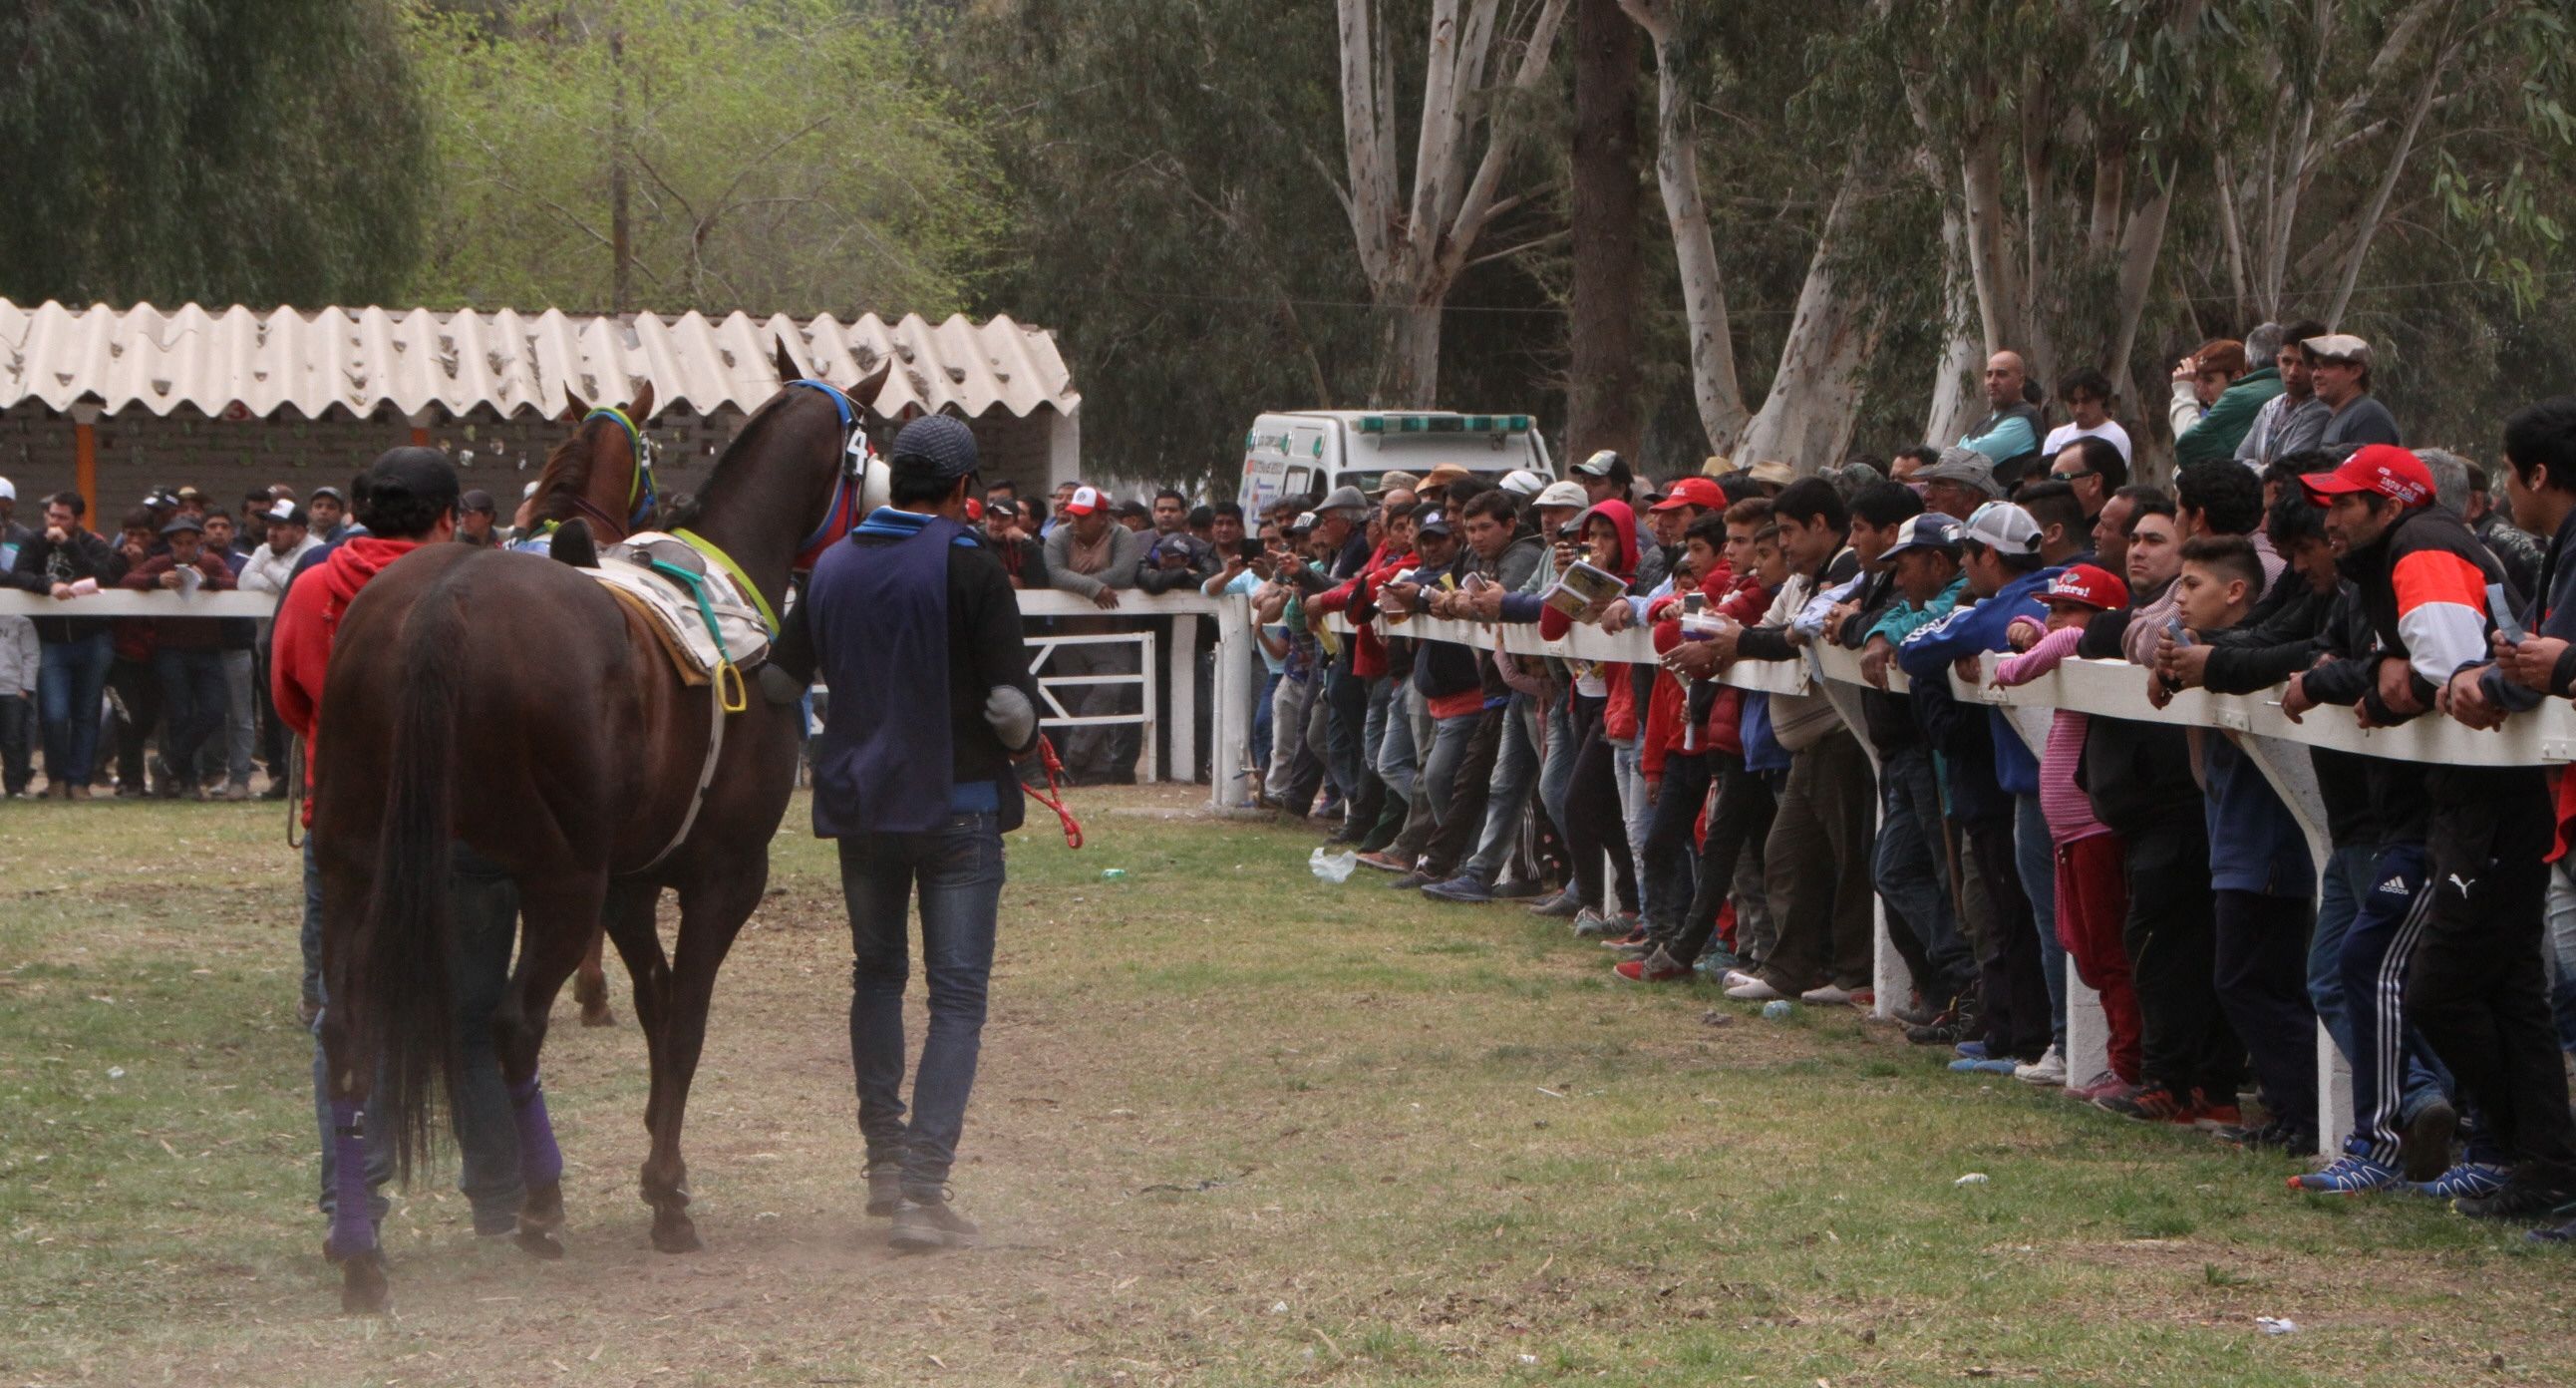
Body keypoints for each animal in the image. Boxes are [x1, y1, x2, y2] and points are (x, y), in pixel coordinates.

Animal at [313, 360, 886, 1313]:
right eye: (876, 444)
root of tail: (442, 601)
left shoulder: (630, 882)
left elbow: (656, 1004)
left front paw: (662, 1158)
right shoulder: (723, 878)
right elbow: (685, 1020)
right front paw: (667, 1195)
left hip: (362, 869)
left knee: (346, 1039)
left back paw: (361, 1254)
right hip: (559, 881)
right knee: (512, 1022)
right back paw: (540, 1205)